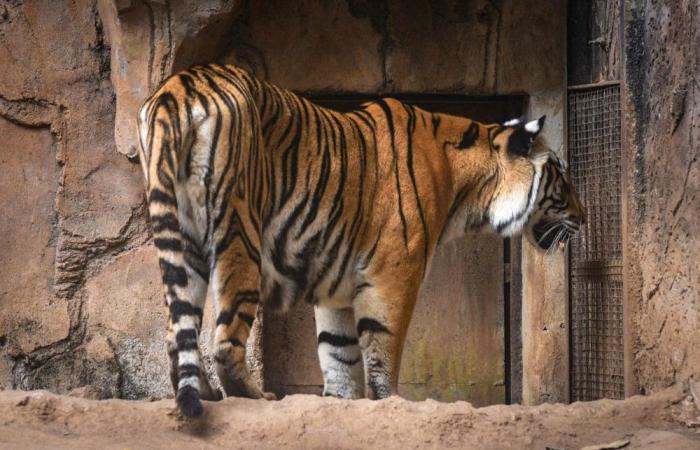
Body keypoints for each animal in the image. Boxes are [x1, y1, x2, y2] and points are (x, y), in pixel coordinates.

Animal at [136, 63, 584, 417]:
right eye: (561, 175)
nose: (582, 219)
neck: (466, 187)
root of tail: (178, 86)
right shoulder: (395, 273)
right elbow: (382, 350)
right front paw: (388, 402)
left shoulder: (335, 284)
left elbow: (337, 352)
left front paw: (339, 402)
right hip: (239, 232)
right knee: (225, 344)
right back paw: (254, 397)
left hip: (182, 239)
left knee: (176, 334)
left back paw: (205, 394)